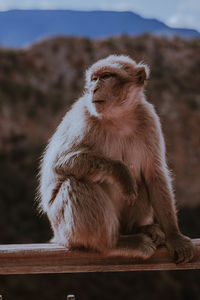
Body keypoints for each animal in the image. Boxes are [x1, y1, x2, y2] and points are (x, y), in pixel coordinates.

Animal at [38, 54, 195, 262]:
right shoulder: (84, 118)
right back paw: (115, 244)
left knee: (141, 182)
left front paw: (174, 236)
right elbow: (60, 164)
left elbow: (154, 174)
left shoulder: (148, 119)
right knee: (75, 184)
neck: (118, 117)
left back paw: (138, 229)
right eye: (94, 79)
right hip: (64, 229)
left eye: (106, 76)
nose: (93, 89)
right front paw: (120, 172)